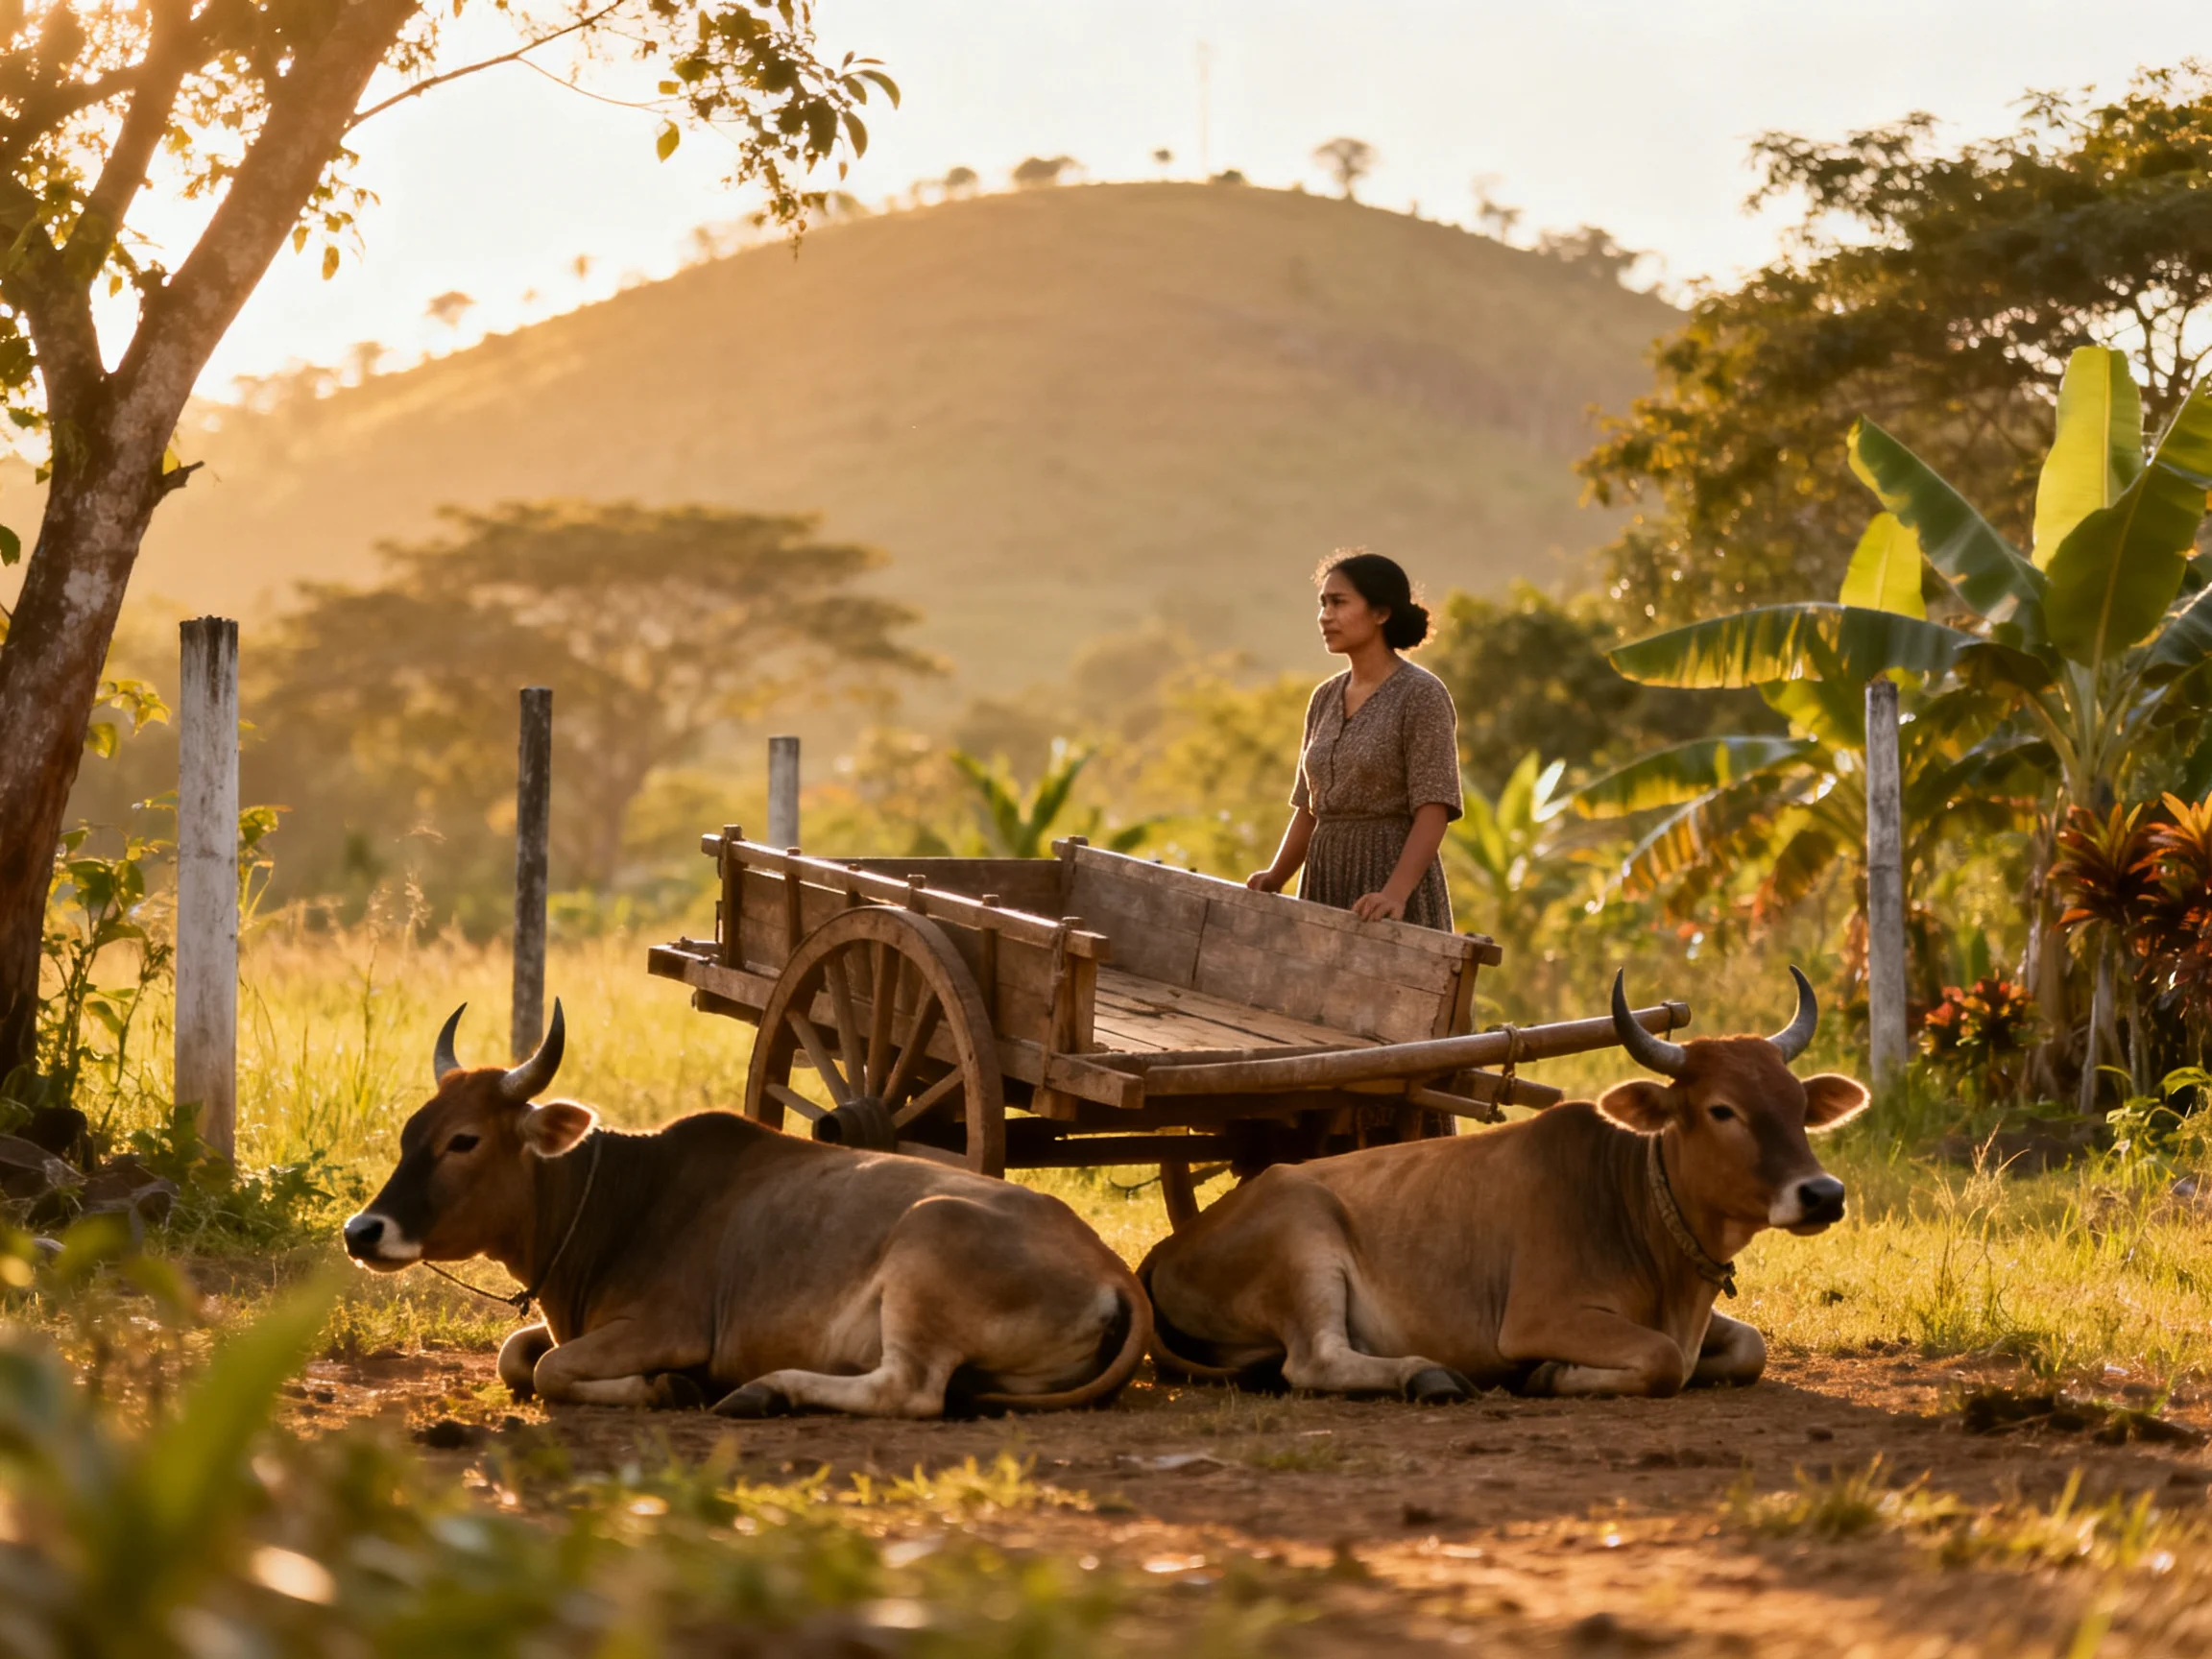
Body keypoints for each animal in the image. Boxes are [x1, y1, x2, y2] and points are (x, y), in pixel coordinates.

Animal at [342, 1001, 1150, 1418]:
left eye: (464, 1141)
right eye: (410, 1132)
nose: (362, 1231)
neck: (623, 1200)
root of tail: (1114, 1269)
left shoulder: (667, 1326)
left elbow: (548, 1370)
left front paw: (669, 1386)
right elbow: (517, 1354)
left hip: (929, 1239)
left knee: (911, 1391)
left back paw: (764, 1391)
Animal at [1138, 969, 1867, 1402]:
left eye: (1797, 1103)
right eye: (1722, 1110)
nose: (1822, 1195)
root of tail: (1162, 1252)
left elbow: (1750, 1348)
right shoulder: (1541, 1317)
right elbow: (1663, 1361)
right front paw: (1549, 1374)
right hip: (1304, 1241)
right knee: (1315, 1362)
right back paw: (1426, 1375)